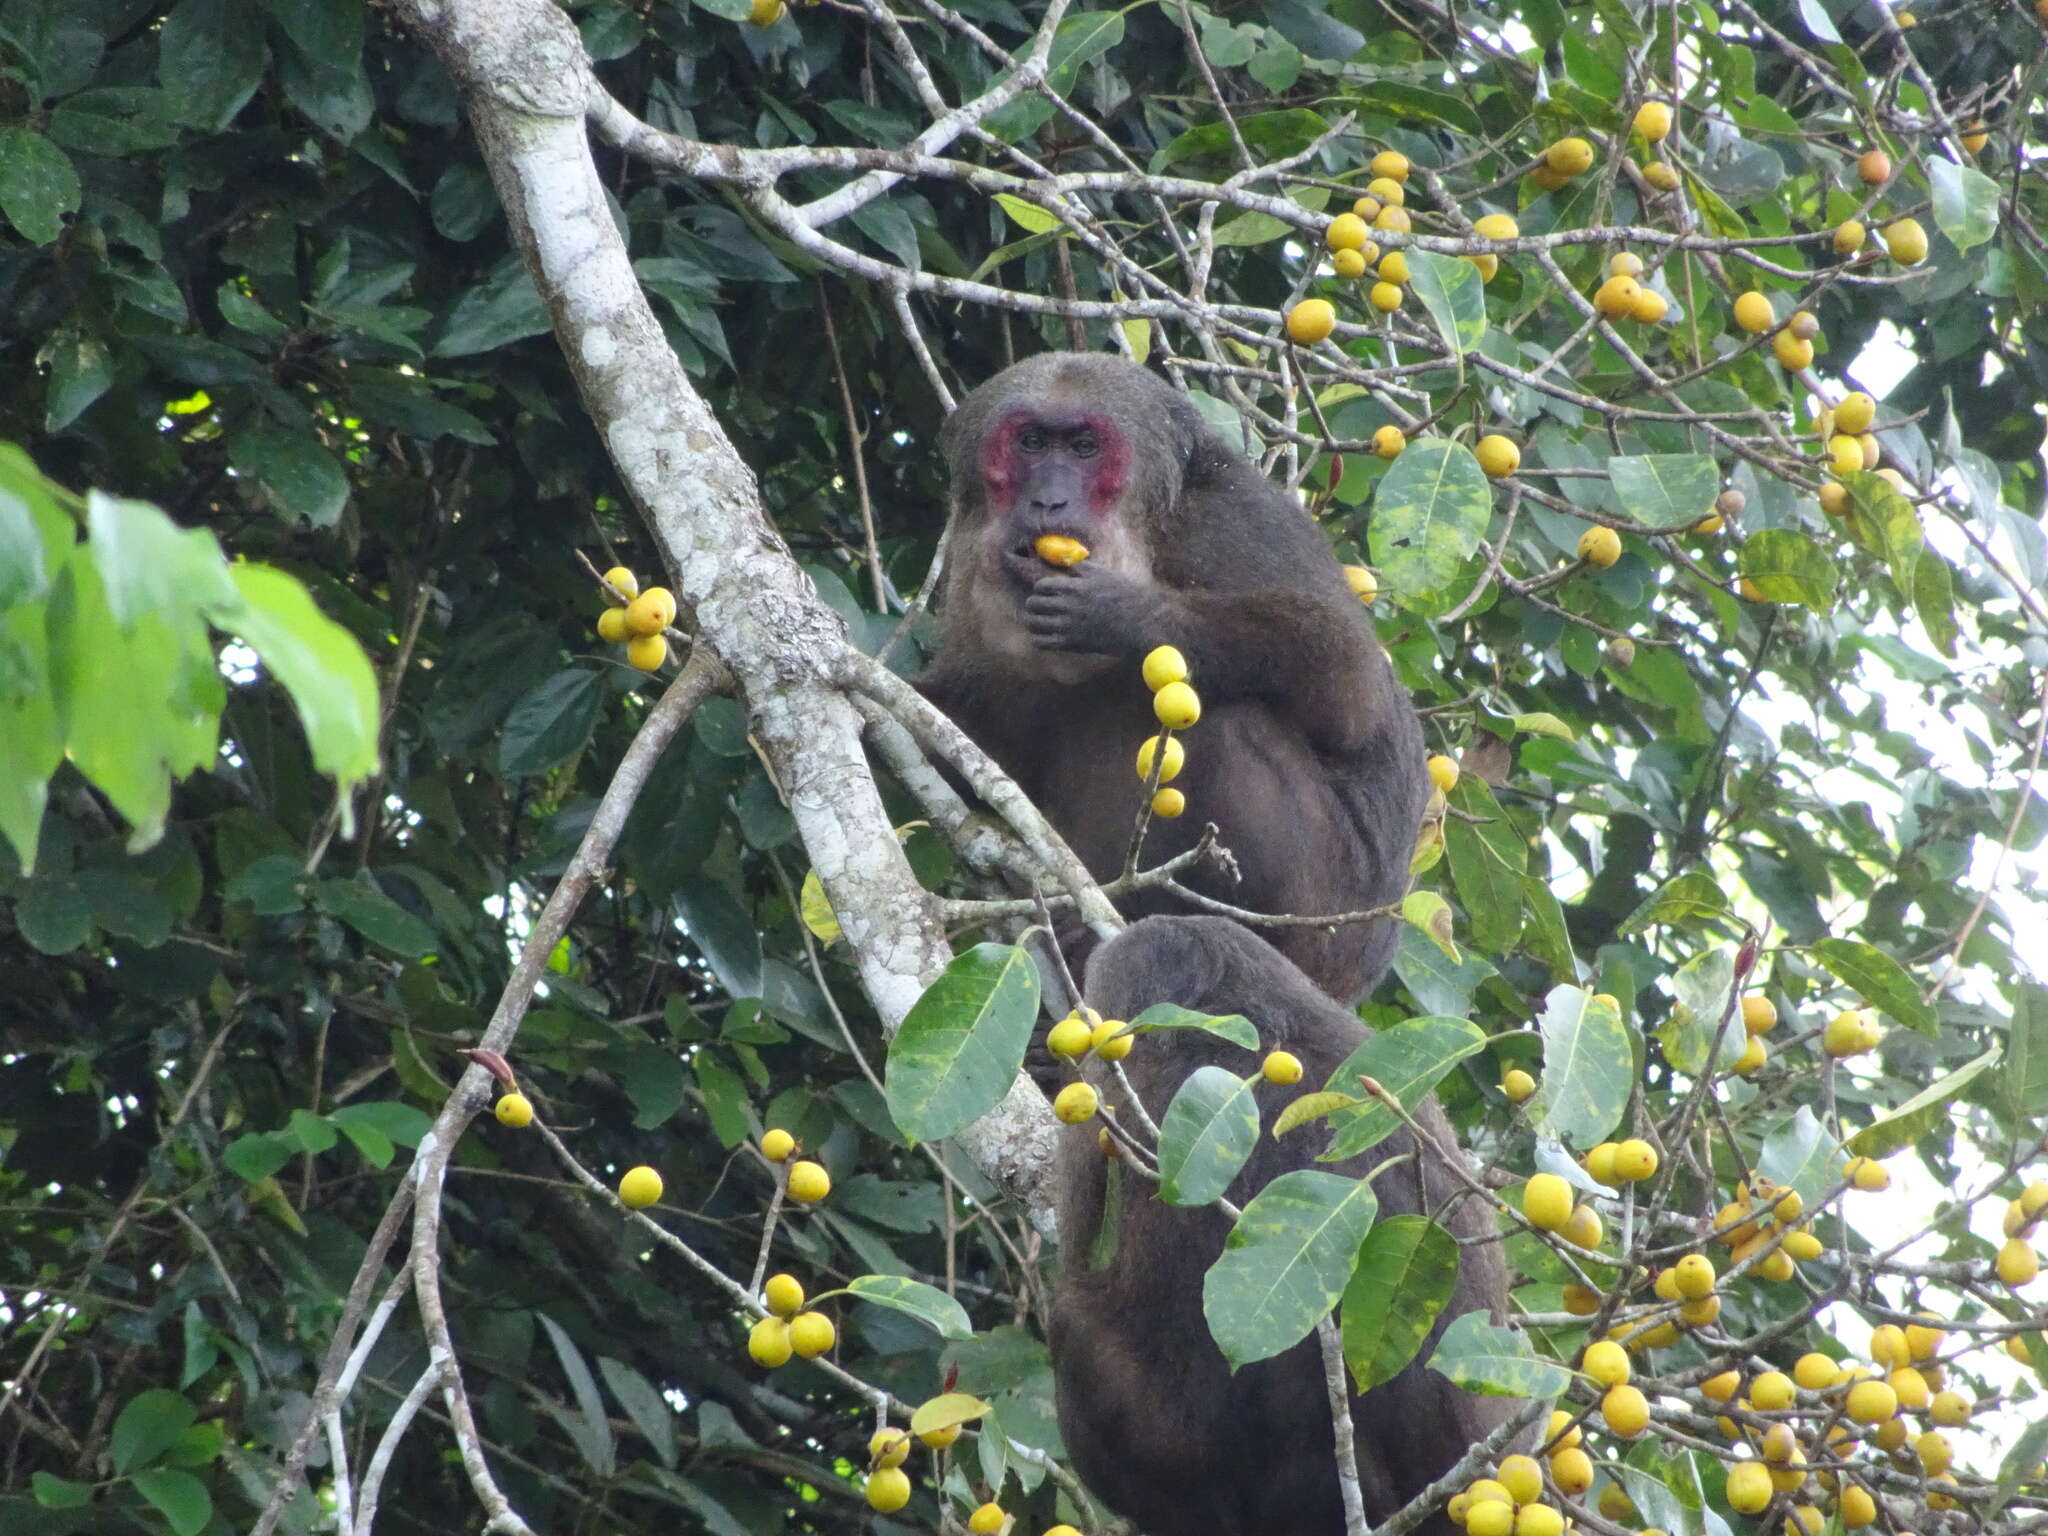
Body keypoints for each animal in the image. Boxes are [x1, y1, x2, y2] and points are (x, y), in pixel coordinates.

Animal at [917, 354, 1425, 1011]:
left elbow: (1350, 683)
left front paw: (1124, 616)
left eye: (1083, 448)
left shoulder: (1232, 523)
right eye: (1031, 443)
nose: (1048, 500)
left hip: (1328, 916)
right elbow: (987, 734)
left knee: (1227, 723)